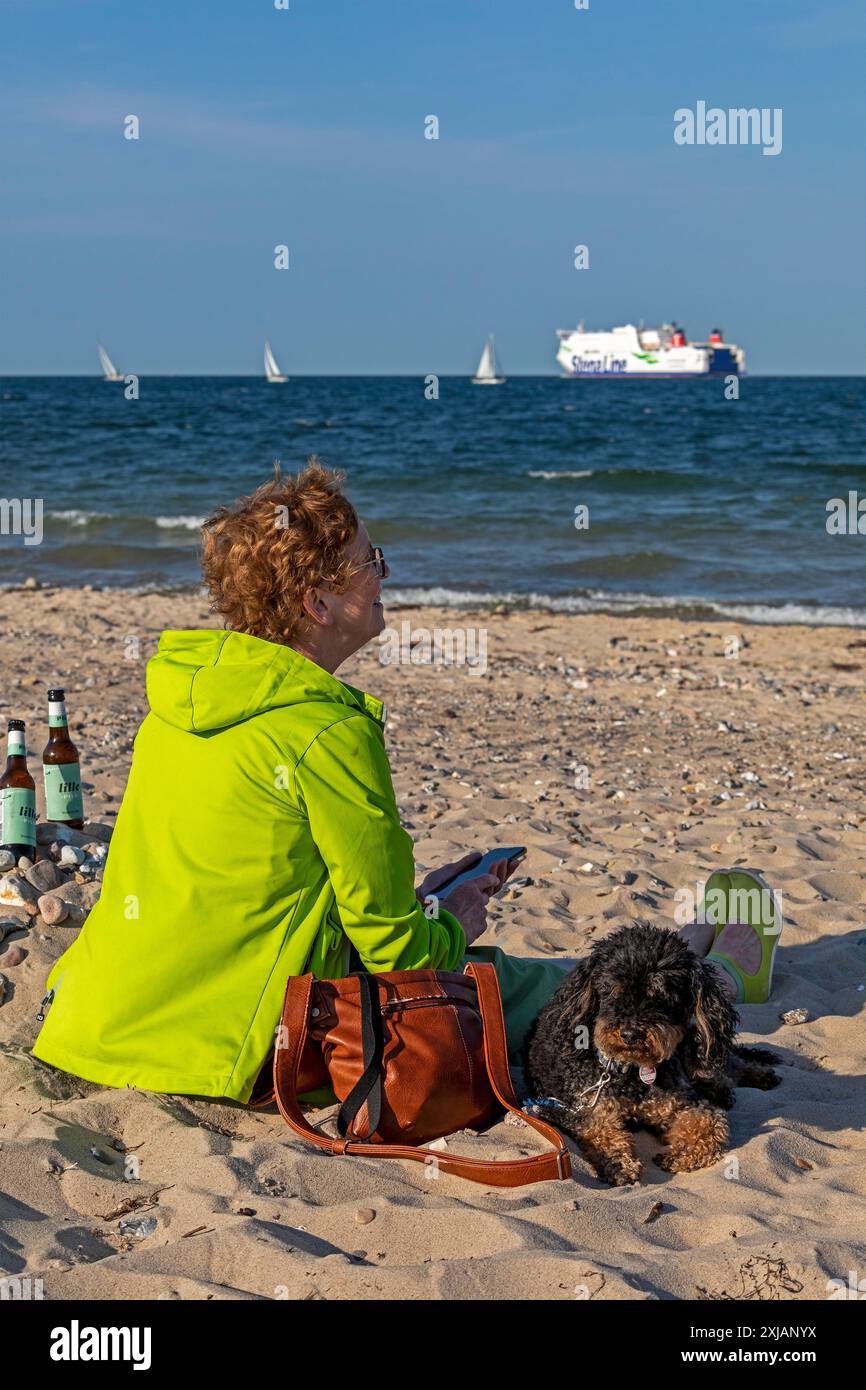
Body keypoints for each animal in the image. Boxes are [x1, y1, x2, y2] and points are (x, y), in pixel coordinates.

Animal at [525, 922, 783, 1184]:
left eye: (661, 996)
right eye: (611, 991)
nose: (630, 1034)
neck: (629, 1072)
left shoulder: (678, 1101)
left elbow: (709, 1122)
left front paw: (680, 1155)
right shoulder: (577, 1107)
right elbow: (599, 1129)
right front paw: (621, 1163)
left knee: (724, 1065)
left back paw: (753, 1077)